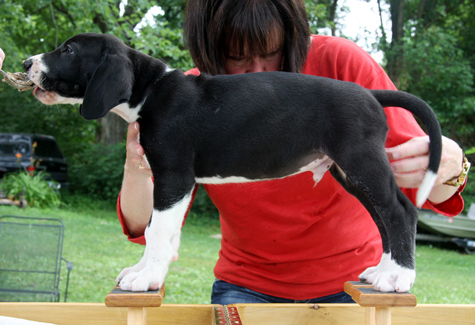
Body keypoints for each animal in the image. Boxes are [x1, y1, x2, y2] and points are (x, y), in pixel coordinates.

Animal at [25, 33, 442, 292]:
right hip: (348, 172)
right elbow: (158, 232)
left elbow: (157, 232)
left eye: (68, 51)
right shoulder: (174, 183)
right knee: (383, 218)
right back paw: (383, 272)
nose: (27, 62)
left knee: (400, 212)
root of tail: (371, 94)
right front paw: (144, 271)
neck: (150, 91)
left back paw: (399, 279)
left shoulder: (174, 177)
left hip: (361, 162)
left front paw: (146, 279)